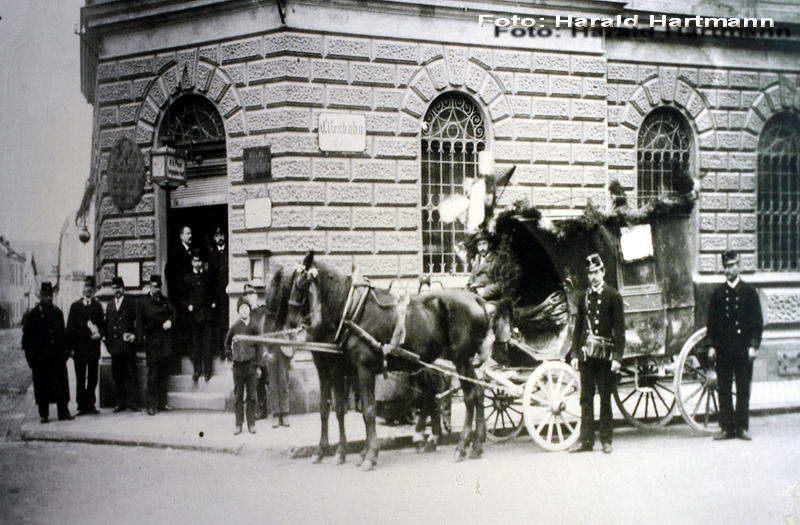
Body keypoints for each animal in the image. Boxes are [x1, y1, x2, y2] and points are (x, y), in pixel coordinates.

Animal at [288, 252, 494, 468]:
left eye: (301, 283)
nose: (292, 321)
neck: (352, 311)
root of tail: (475, 298)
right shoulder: (343, 369)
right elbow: (338, 408)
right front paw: (354, 452)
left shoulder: (362, 369)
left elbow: (368, 410)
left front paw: (370, 454)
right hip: (461, 360)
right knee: (476, 392)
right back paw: (475, 445)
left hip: (461, 359)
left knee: (469, 396)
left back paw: (461, 445)